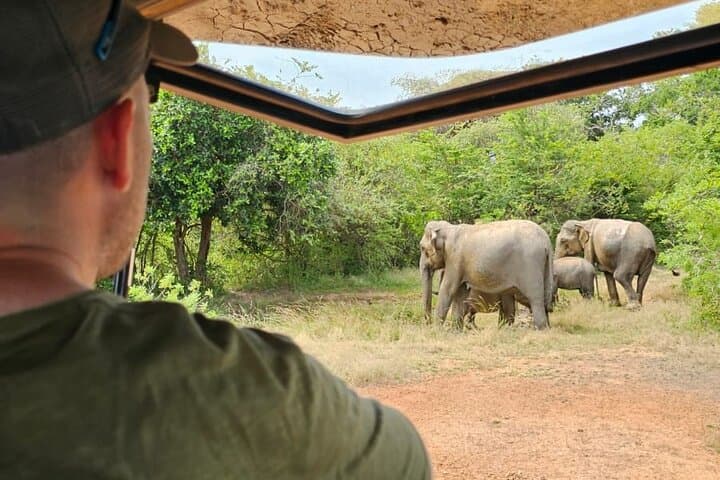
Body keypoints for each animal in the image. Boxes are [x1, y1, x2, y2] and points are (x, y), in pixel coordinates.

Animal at [420, 219, 554, 330]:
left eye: (422, 248)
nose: (428, 323)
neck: (449, 229)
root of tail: (546, 242)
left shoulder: (454, 258)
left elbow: (448, 289)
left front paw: (437, 331)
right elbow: (460, 292)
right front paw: (455, 331)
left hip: (530, 265)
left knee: (535, 298)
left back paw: (540, 329)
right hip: (544, 267)